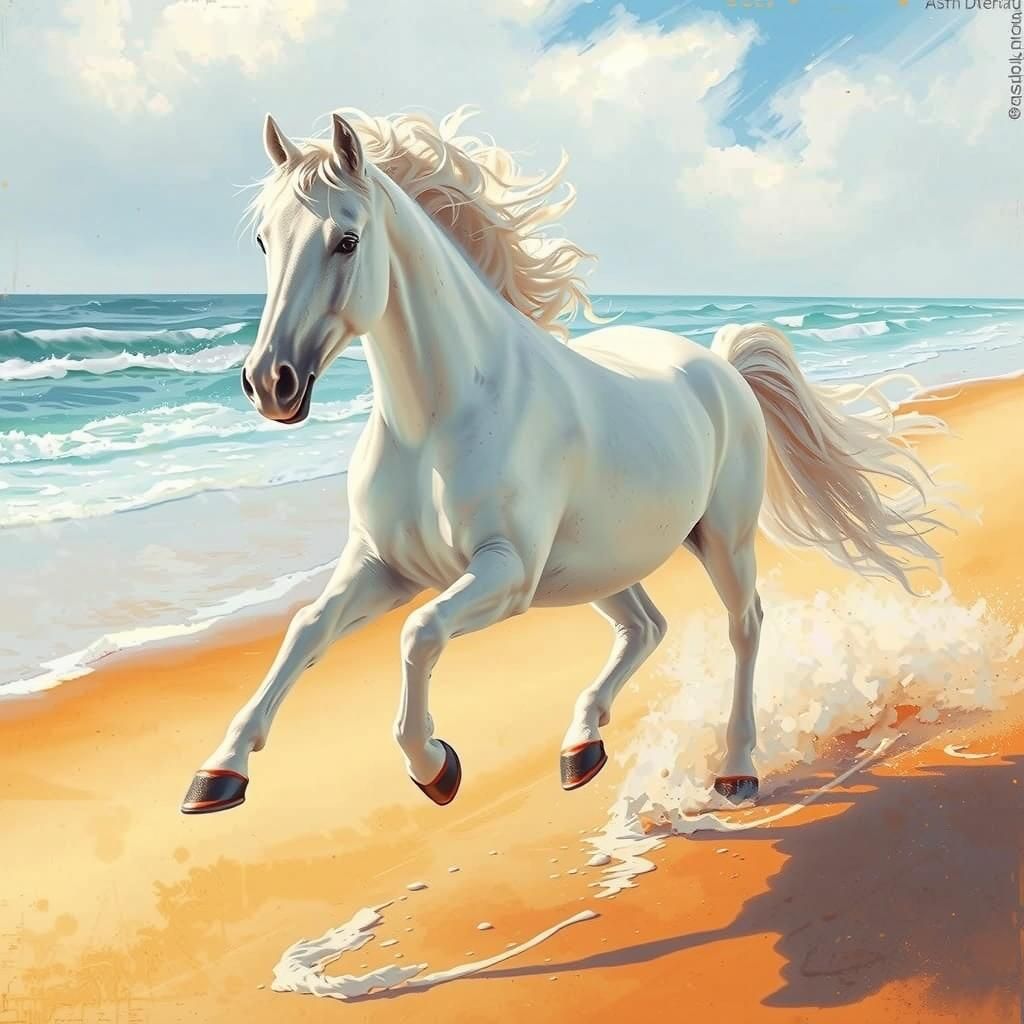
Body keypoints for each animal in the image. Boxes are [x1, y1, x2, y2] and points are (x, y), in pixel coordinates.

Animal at [181, 107, 947, 815]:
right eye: (264, 240)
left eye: (347, 239)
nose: (270, 383)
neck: (439, 419)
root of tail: (721, 364)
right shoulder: (384, 565)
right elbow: (307, 629)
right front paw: (218, 773)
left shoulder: (505, 572)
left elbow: (419, 634)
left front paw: (435, 766)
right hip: (599, 562)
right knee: (645, 627)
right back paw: (582, 747)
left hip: (722, 541)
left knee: (744, 626)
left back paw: (736, 770)